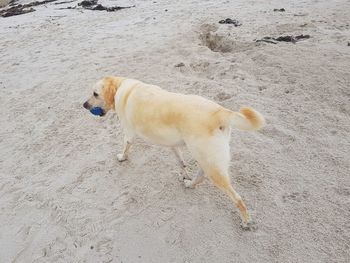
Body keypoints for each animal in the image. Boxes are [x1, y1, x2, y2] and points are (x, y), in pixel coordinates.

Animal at [84, 76, 266, 229]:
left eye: (95, 93)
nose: (84, 105)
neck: (121, 87)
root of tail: (219, 111)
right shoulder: (172, 144)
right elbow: (181, 161)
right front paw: (184, 173)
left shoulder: (128, 134)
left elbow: (125, 147)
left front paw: (122, 157)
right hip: (206, 159)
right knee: (201, 176)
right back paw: (190, 184)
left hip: (211, 165)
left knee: (237, 198)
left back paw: (246, 221)